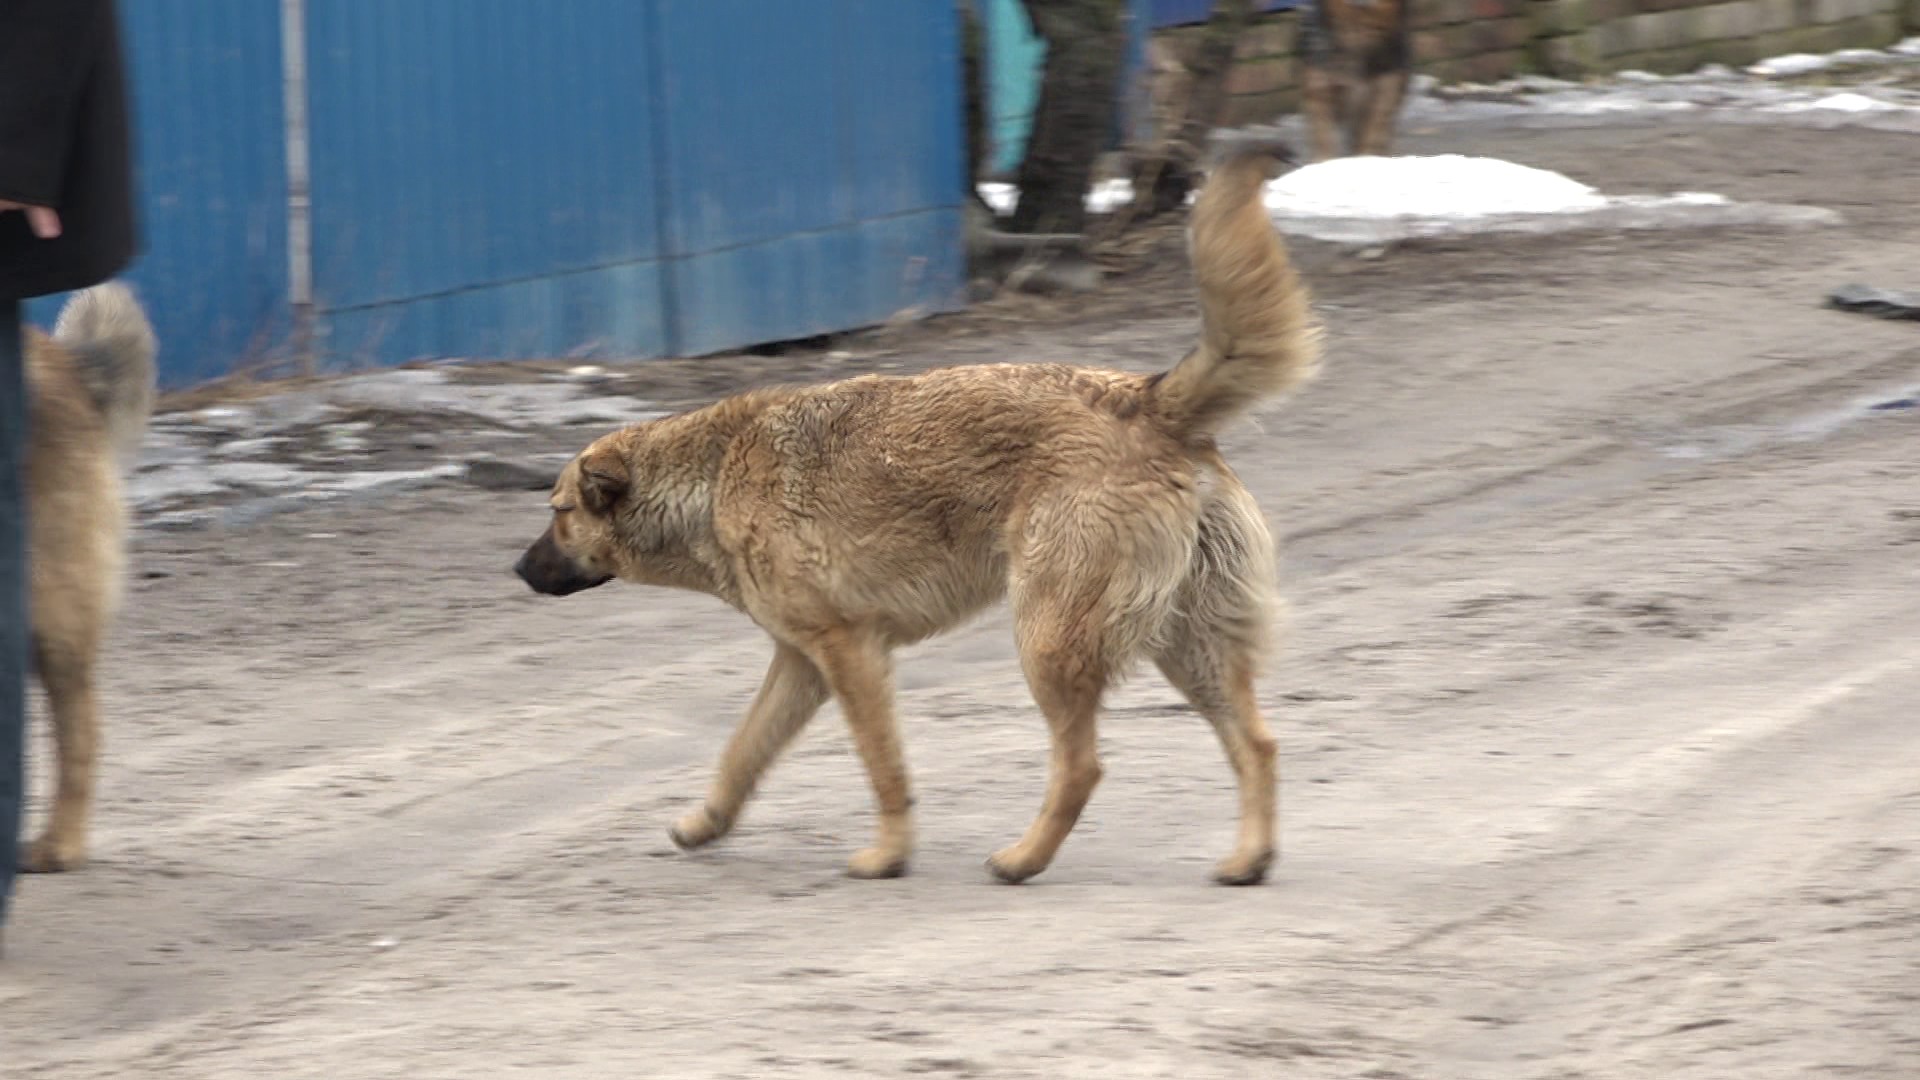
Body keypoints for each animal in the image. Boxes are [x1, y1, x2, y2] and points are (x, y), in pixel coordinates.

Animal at [514, 145, 1320, 883]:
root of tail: (1150, 400)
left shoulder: (851, 656)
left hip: (1050, 642)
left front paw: (889, 855)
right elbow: (741, 754)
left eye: (558, 512)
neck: (709, 477)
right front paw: (706, 823)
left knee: (1083, 766)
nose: (517, 569)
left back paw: (1024, 859)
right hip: (1186, 645)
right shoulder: (800, 665)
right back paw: (1248, 858)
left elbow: (883, 768)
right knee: (1259, 744)